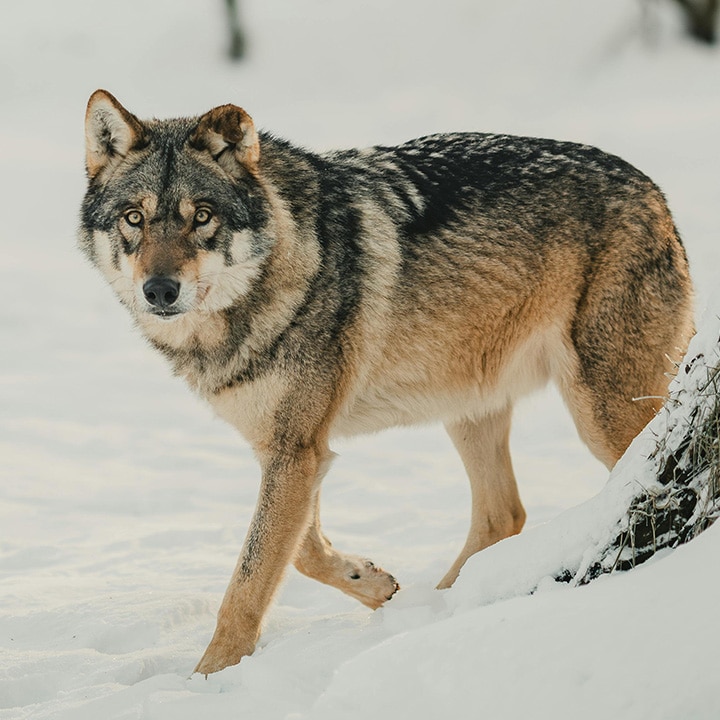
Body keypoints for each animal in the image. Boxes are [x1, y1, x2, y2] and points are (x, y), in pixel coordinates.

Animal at [79, 89, 694, 674]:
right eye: (134, 218)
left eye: (202, 215)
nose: (160, 290)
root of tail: (653, 190)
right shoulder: (291, 449)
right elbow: (299, 551)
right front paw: (373, 584)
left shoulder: (296, 452)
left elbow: (250, 582)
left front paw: (208, 679)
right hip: (470, 408)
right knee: (505, 514)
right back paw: (435, 612)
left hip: (602, 413)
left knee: (623, 484)